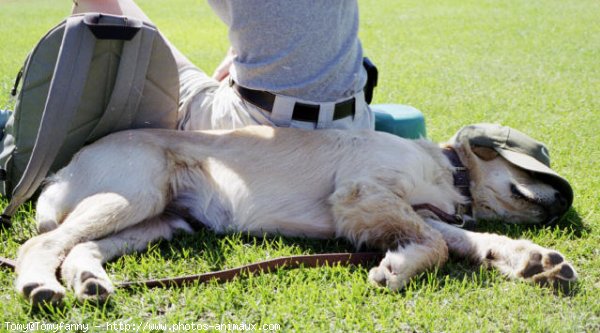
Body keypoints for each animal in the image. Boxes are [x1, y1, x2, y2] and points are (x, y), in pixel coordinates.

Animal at [15, 122, 576, 304]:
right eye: (541, 170)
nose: (564, 201)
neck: (448, 173)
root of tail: (63, 169)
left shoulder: (403, 209)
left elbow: (459, 240)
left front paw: (533, 260)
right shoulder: (361, 193)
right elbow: (437, 244)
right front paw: (395, 271)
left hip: (158, 218)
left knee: (78, 248)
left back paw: (89, 282)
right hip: (134, 194)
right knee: (40, 243)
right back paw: (39, 285)